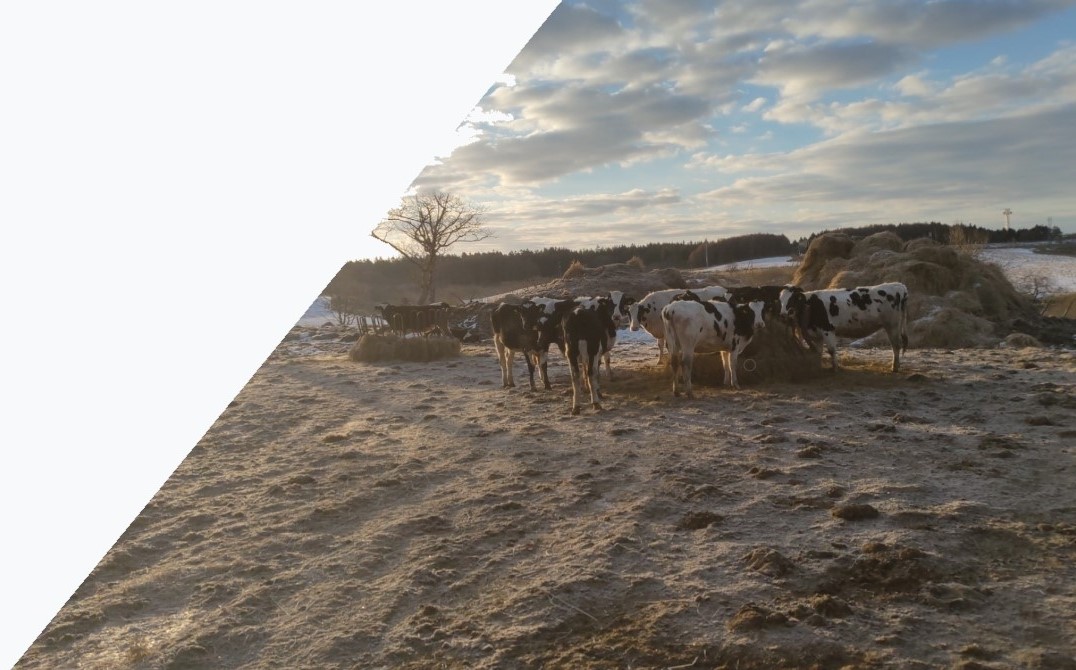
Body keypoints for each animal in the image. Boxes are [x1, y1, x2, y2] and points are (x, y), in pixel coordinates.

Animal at [779, 282, 909, 373]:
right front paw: (818, 367)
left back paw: (894, 367)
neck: (811, 305)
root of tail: (899, 285)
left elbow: (831, 350)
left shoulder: (828, 330)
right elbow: (818, 352)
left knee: (896, 345)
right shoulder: (816, 334)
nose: (783, 315)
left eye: (793, 299)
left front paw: (835, 368)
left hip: (892, 325)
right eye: (780, 300)